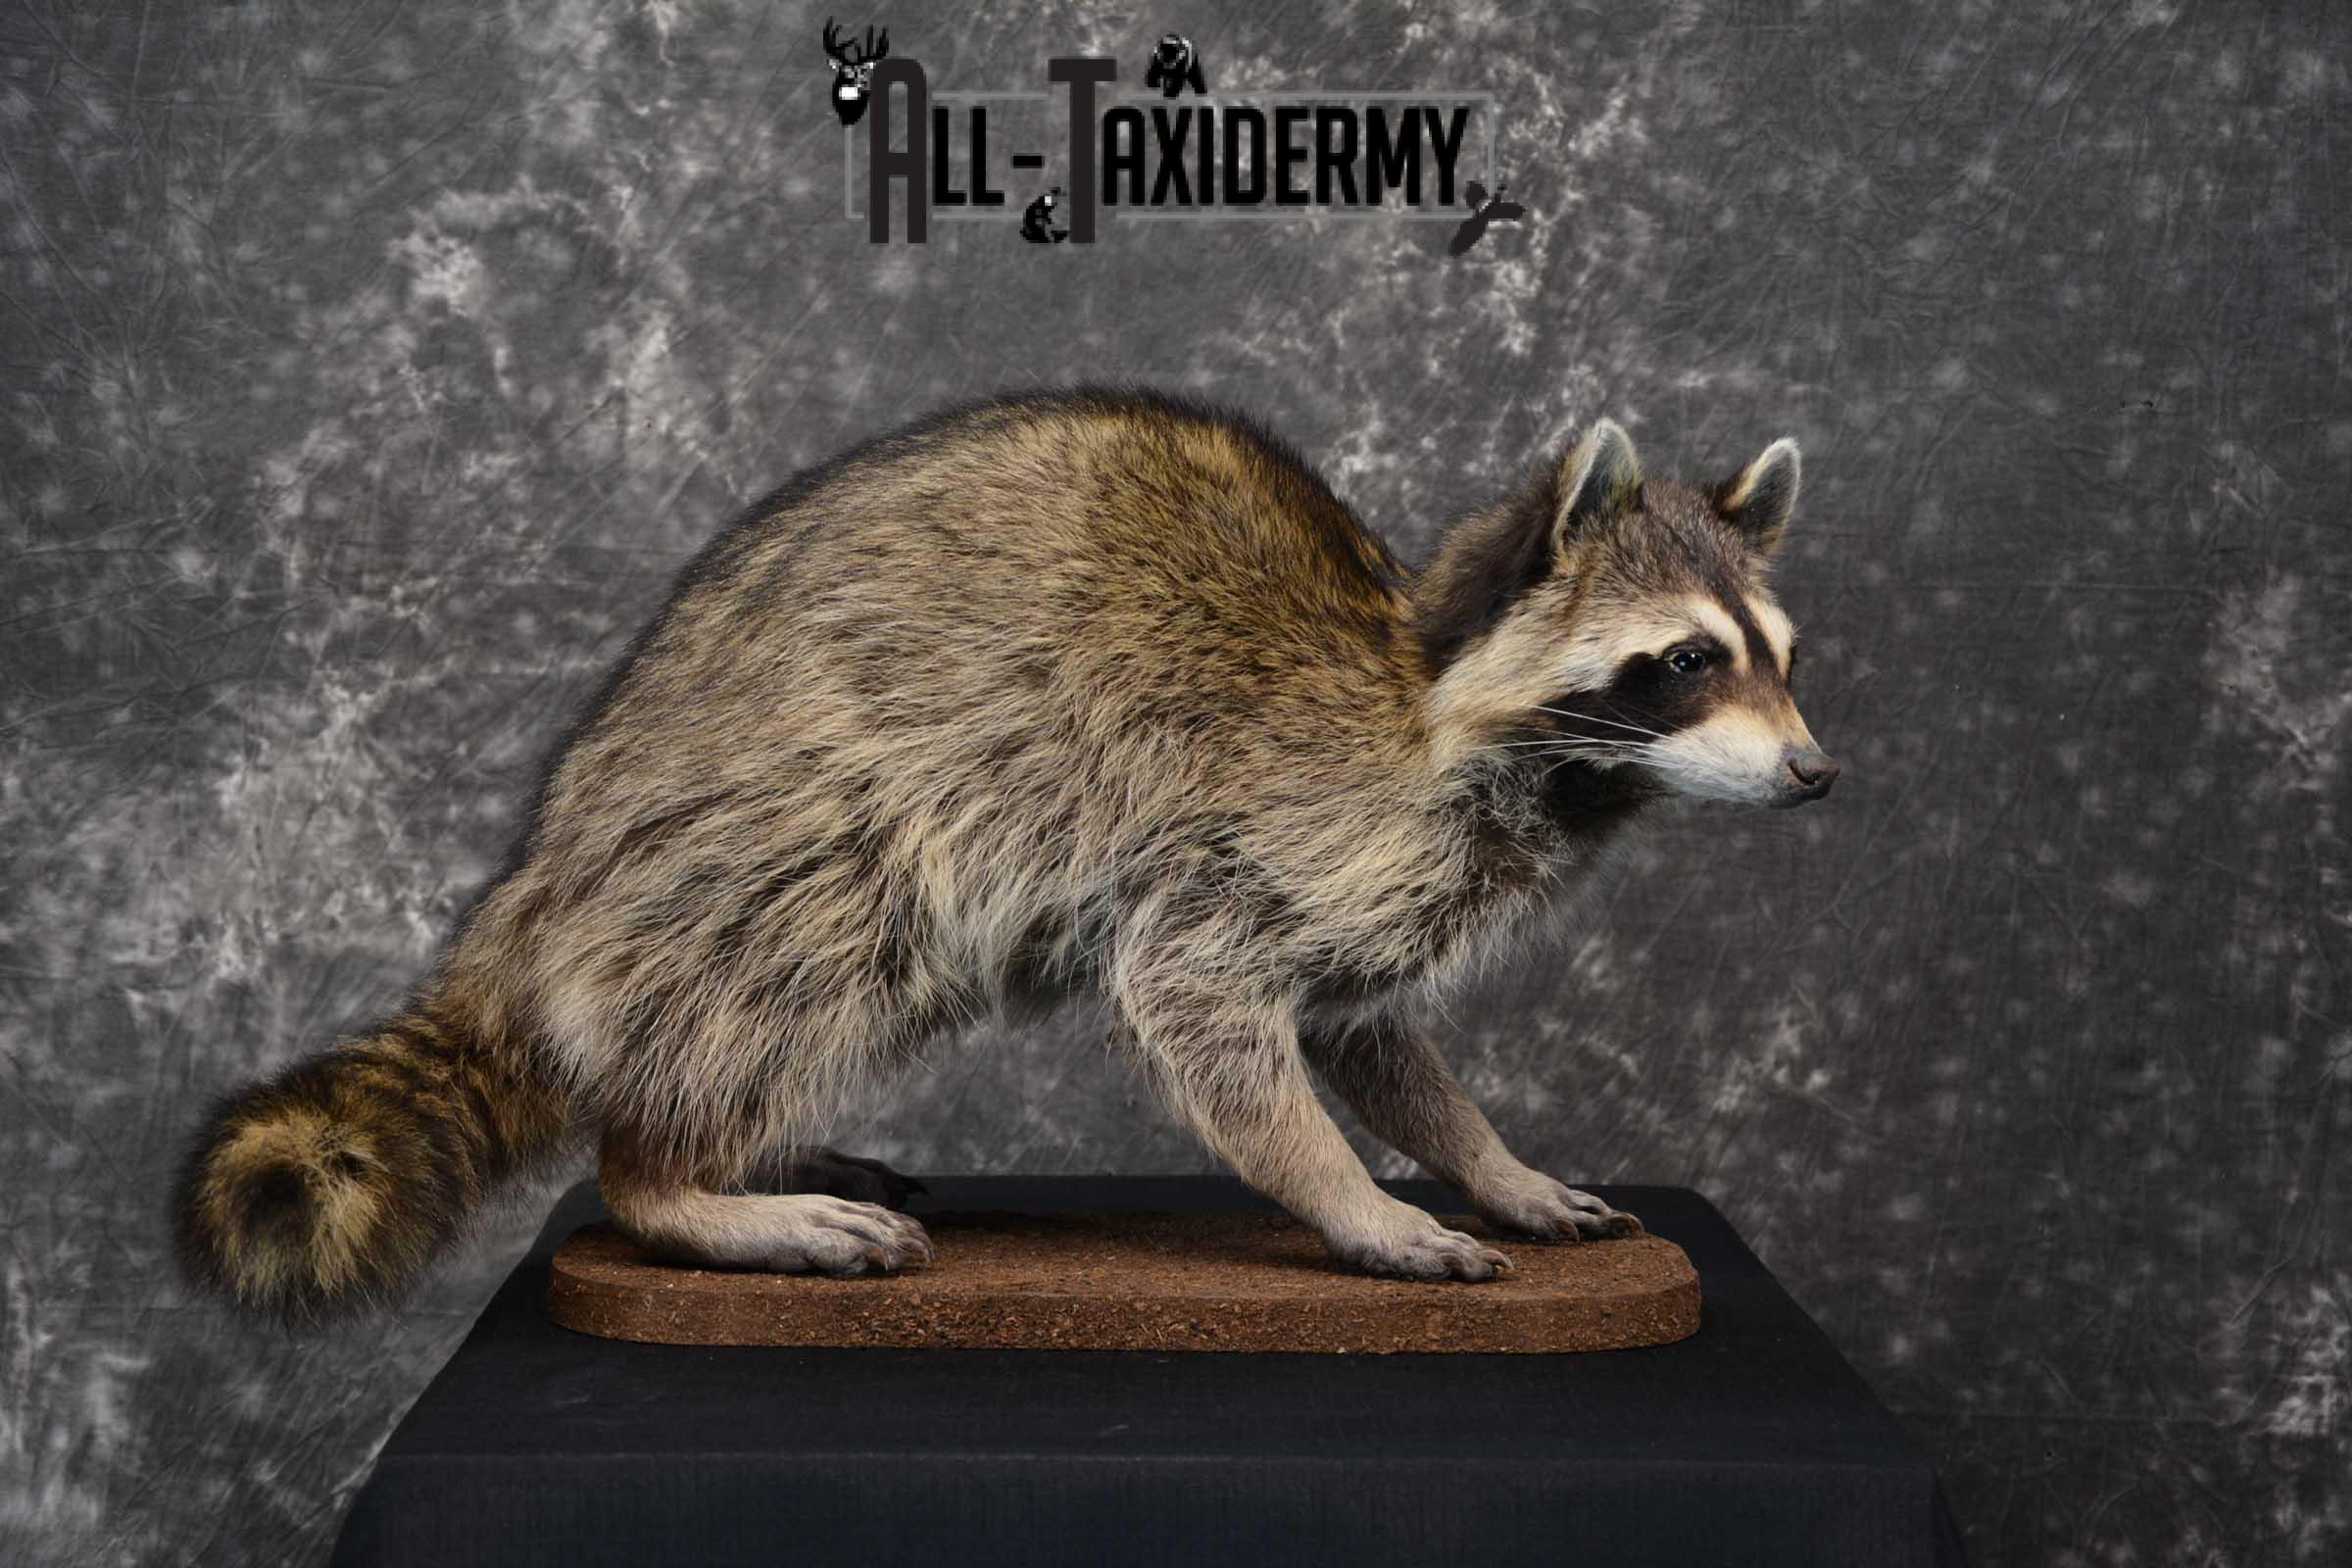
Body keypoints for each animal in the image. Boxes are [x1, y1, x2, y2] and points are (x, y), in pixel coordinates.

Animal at [174, 387, 1837, 1318]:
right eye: (1686, 663)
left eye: (1786, 656)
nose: (1818, 774)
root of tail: (535, 893)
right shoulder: (1269, 822)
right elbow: (1204, 1009)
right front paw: (1354, 1202)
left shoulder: (1388, 884)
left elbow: (1373, 1040)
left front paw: (1488, 1159)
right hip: (767, 833)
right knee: (811, 946)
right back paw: (679, 1180)